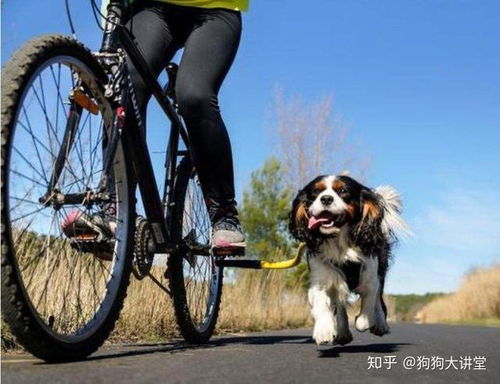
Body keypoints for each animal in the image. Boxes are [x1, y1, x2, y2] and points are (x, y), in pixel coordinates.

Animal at [288, 174, 408, 344]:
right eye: (315, 192)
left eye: (343, 191)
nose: (326, 199)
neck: (340, 244)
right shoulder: (320, 281)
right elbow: (322, 305)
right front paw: (323, 330)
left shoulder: (371, 278)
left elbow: (367, 310)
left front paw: (364, 321)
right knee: (340, 304)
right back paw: (343, 332)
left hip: (380, 271)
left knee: (378, 300)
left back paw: (380, 324)